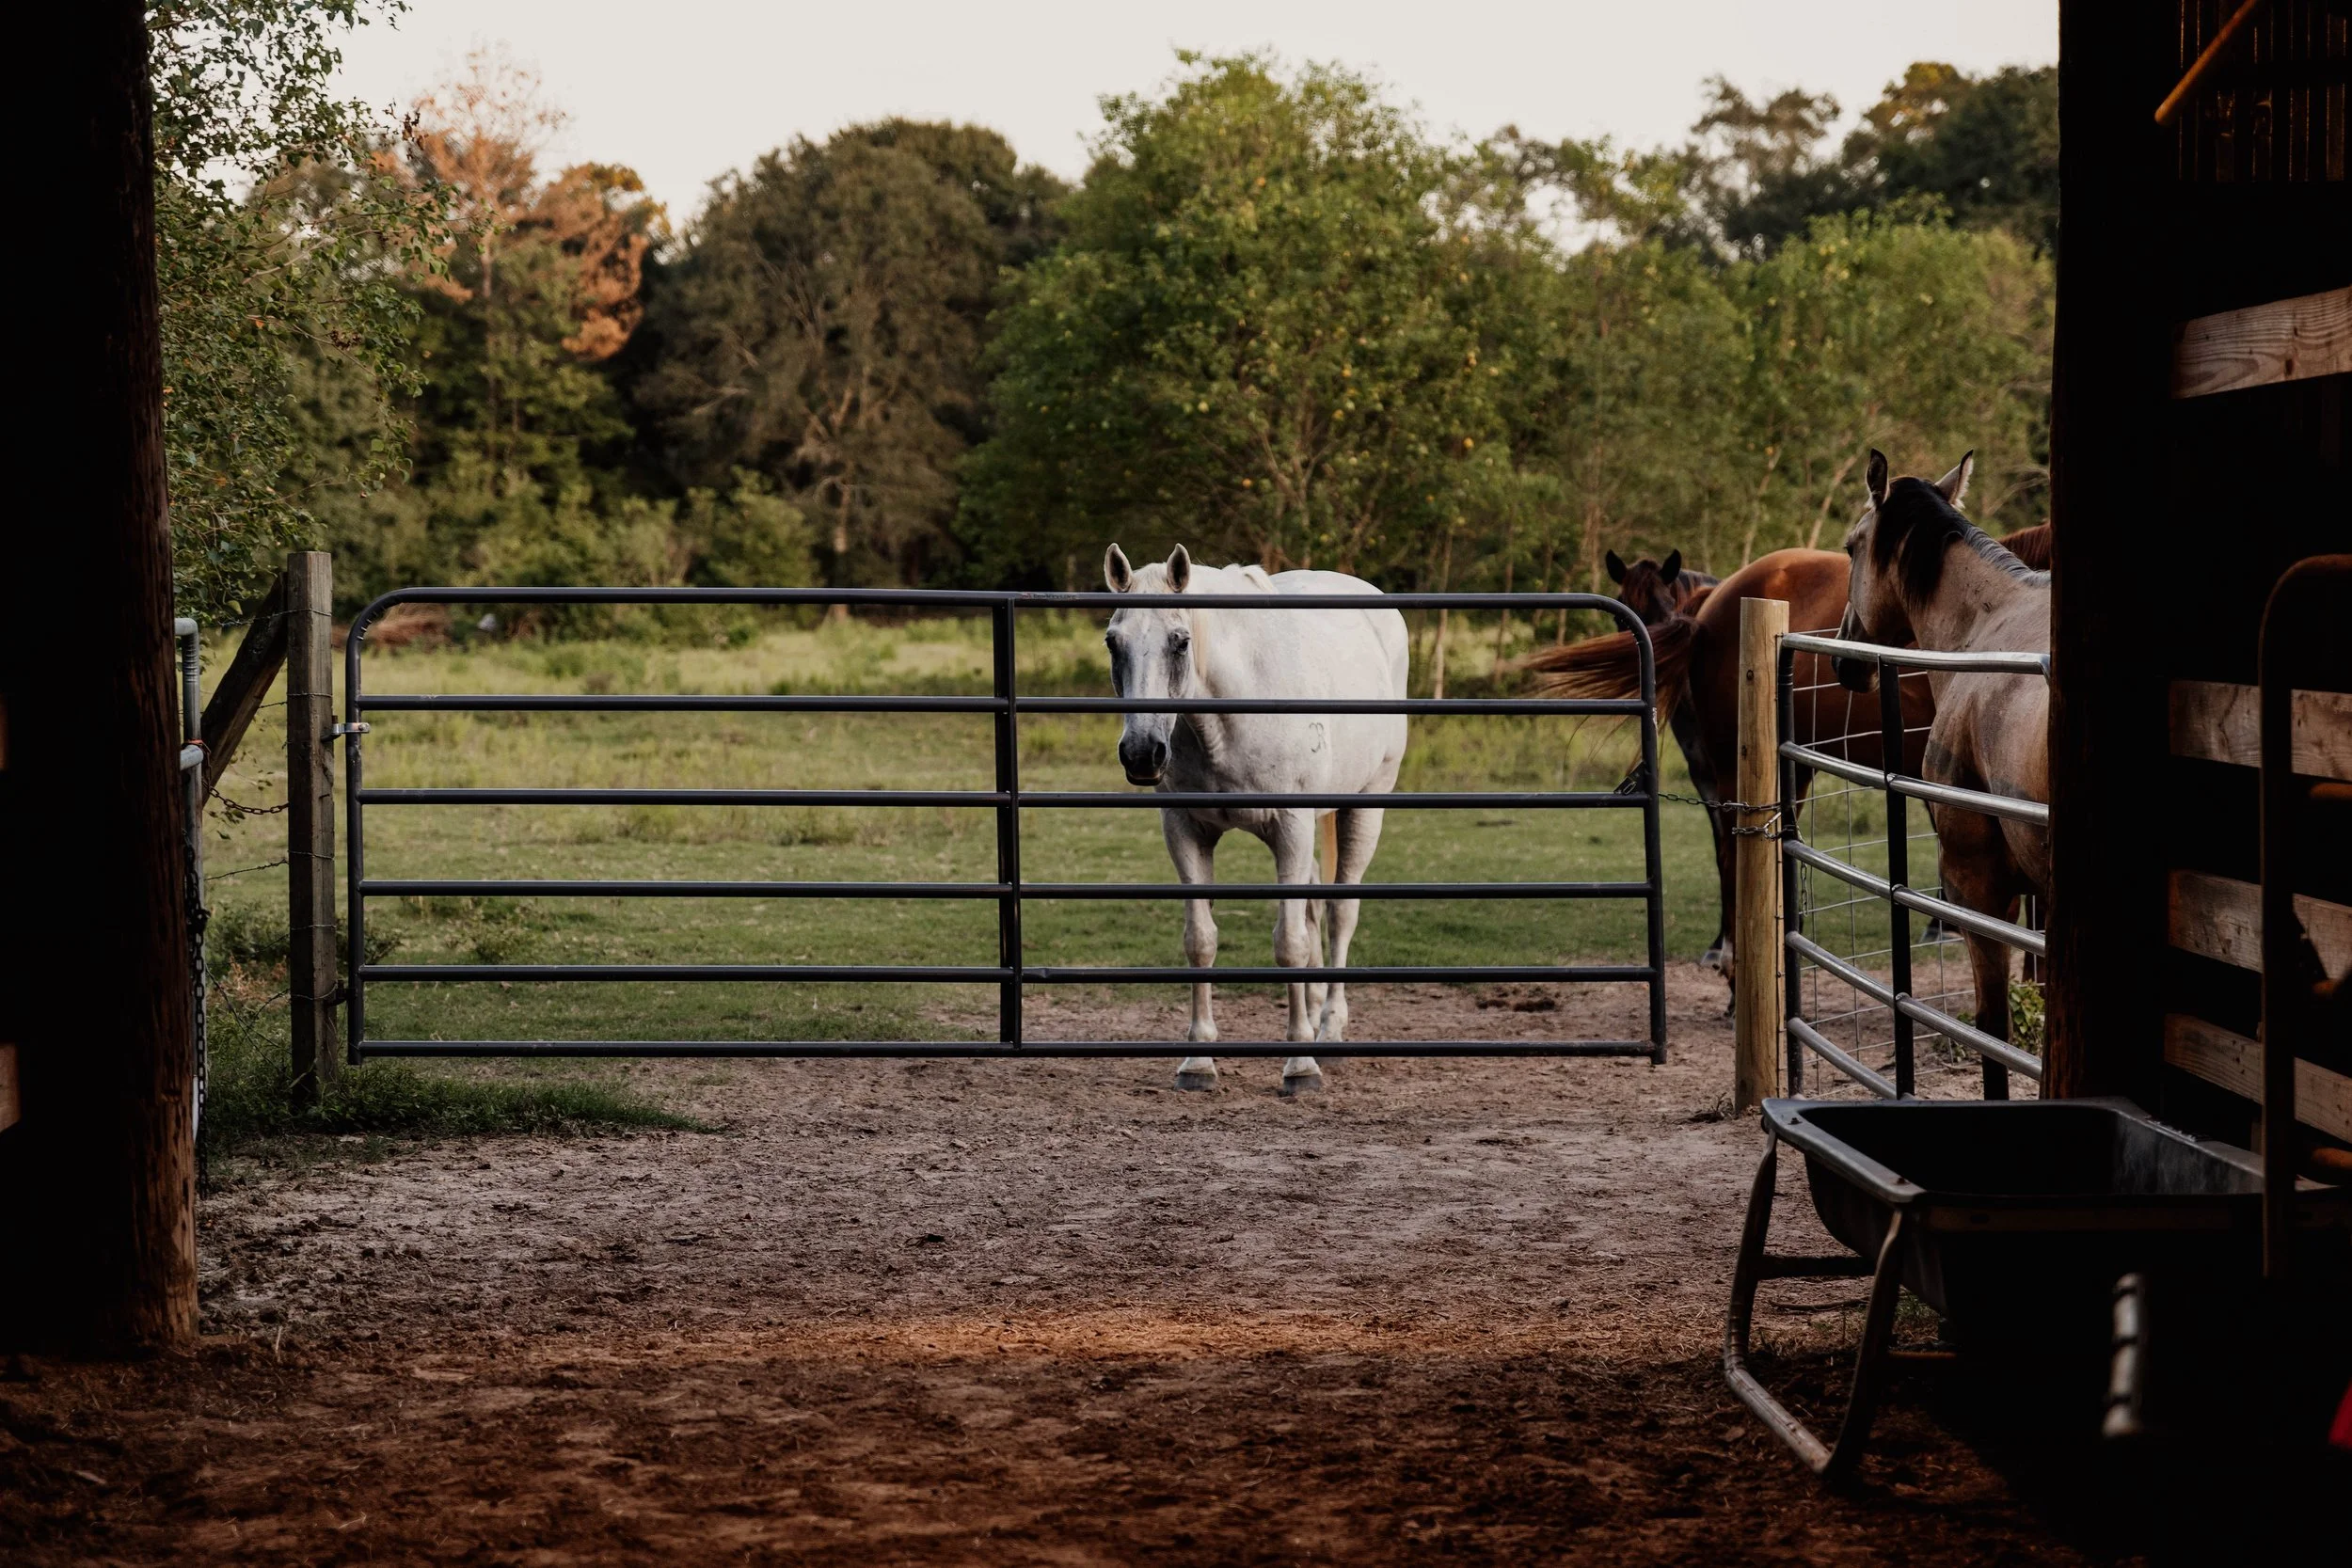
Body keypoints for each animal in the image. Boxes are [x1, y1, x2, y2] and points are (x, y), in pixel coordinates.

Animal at [1102, 543, 1410, 1095]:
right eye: (1113, 642)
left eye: (1181, 642)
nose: (1141, 753)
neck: (1227, 717)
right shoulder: (1186, 831)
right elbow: (1201, 941)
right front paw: (1198, 1062)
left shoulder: (1291, 828)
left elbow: (1289, 945)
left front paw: (1300, 1066)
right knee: (1314, 910)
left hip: (1365, 807)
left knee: (1340, 912)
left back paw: (1329, 1030)